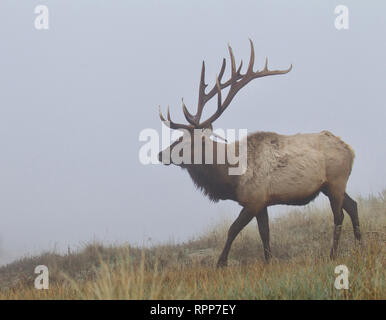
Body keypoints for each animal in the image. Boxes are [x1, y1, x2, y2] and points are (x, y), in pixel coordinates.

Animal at [157, 39, 362, 268]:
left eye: (185, 142)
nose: (160, 154)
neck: (230, 177)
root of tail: (350, 150)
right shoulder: (262, 202)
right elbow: (265, 233)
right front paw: (268, 261)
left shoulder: (253, 200)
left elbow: (233, 229)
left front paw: (221, 264)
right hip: (328, 185)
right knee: (353, 205)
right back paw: (361, 246)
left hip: (336, 180)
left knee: (339, 215)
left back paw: (333, 254)